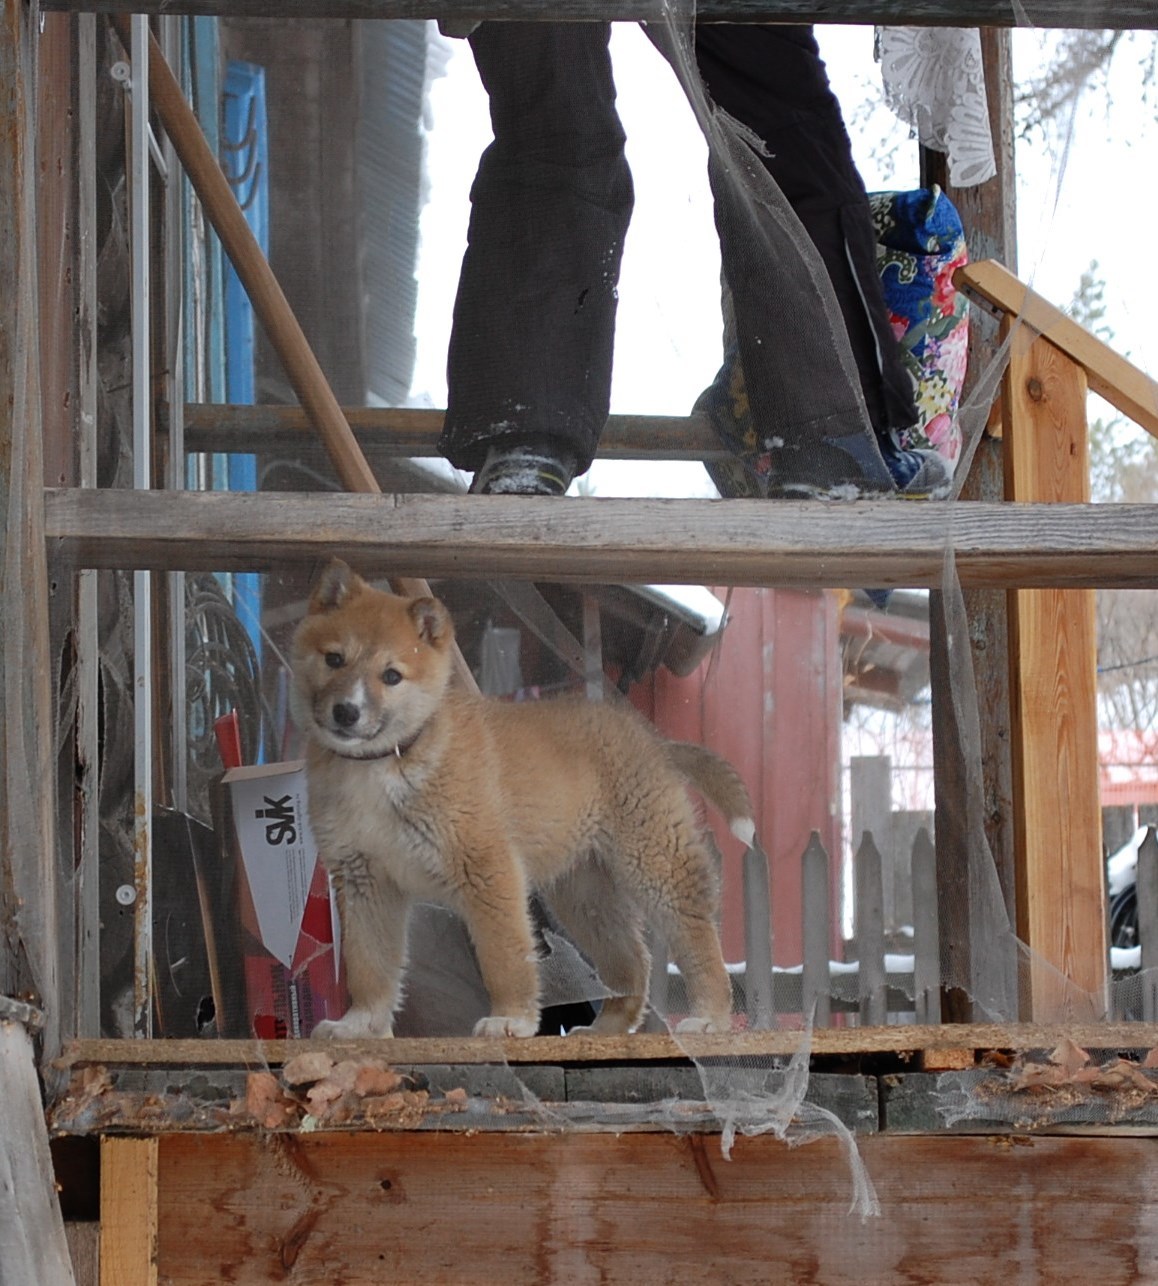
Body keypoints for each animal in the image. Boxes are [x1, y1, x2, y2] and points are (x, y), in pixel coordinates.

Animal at [294, 558, 756, 1039]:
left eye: (391, 676)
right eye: (334, 659)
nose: (346, 712)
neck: (388, 761)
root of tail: (653, 740)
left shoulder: (488, 869)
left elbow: (504, 957)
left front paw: (510, 1019)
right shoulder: (364, 880)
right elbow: (368, 966)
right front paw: (359, 1026)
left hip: (653, 862)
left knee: (696, 937)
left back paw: (710, 1017)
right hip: (584, 895)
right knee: (632, 960)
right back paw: (606, 1030)